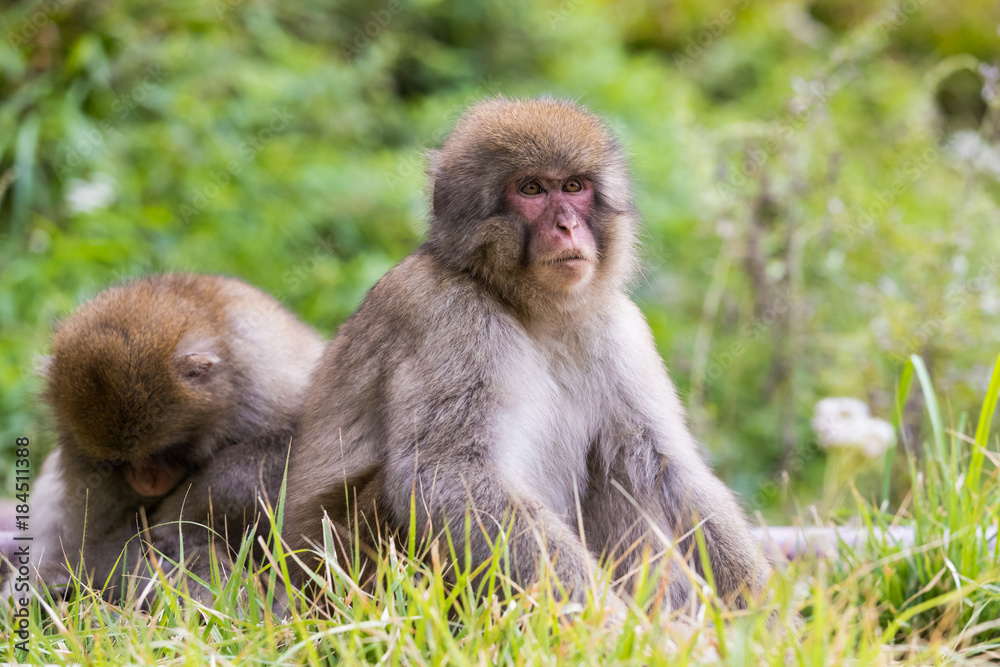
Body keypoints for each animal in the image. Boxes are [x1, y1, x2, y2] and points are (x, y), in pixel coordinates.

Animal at [9, 274, 322, 604]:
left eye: (166, 450)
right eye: (118, 461)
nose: (147, 482)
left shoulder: (263, 385)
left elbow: (297, 448)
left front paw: (188, 509)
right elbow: (101, 544)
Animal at [286, 98, 768, 616]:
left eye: (574, 187)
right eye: (532, 189)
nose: (567, 226)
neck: (531, 310)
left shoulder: (619, 326)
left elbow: (665, 462)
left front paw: (762, 612)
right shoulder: (448, 316)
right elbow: (447, 475)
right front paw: (609, 623)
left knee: (621, 462)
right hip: (341, 583)